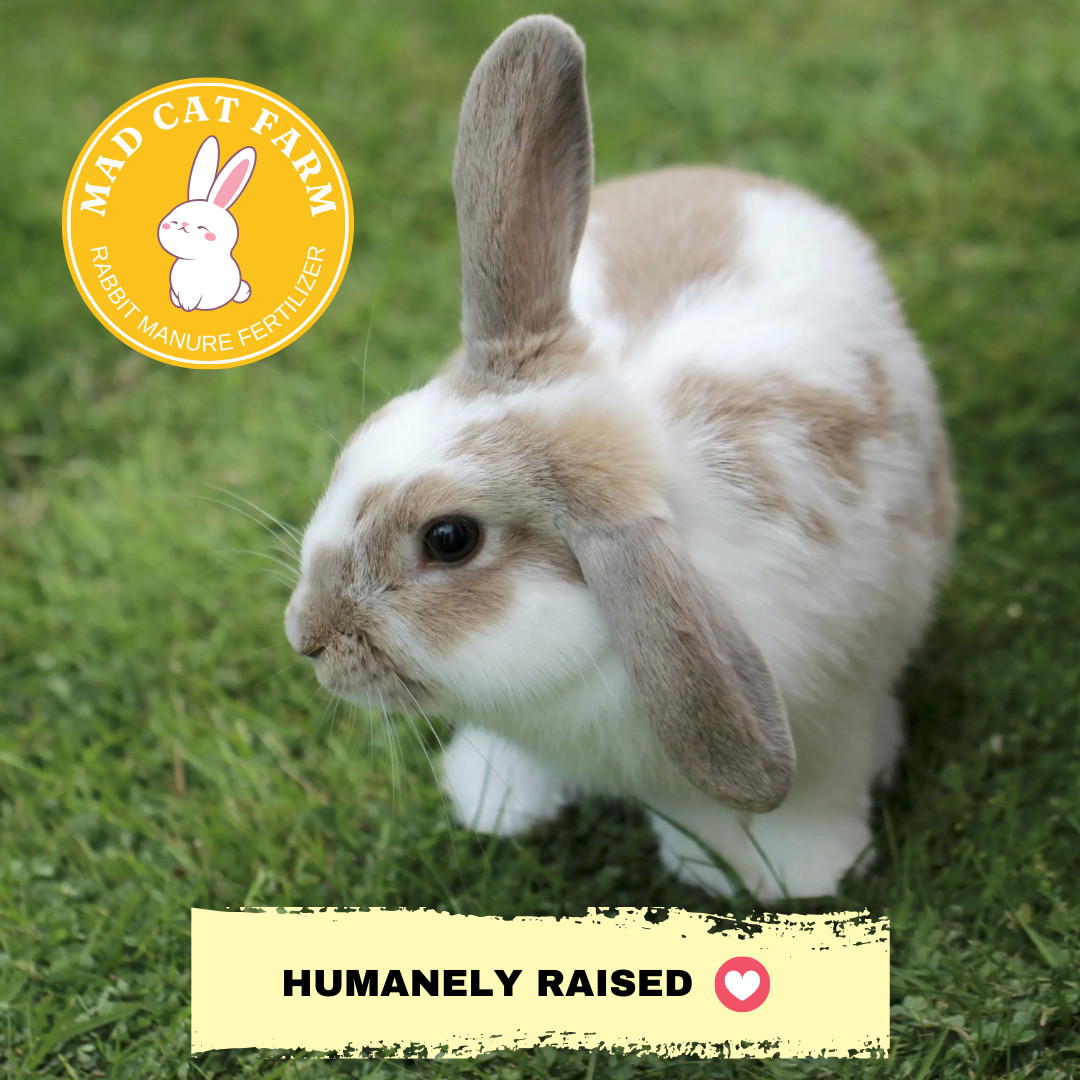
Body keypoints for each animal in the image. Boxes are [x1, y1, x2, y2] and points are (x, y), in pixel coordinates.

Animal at [283, 16, 956, 901]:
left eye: (450, 539)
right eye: (367, 437)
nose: (307, 637)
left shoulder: (827, 715)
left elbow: (809, 798)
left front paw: (804, 875)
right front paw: (503, 802)